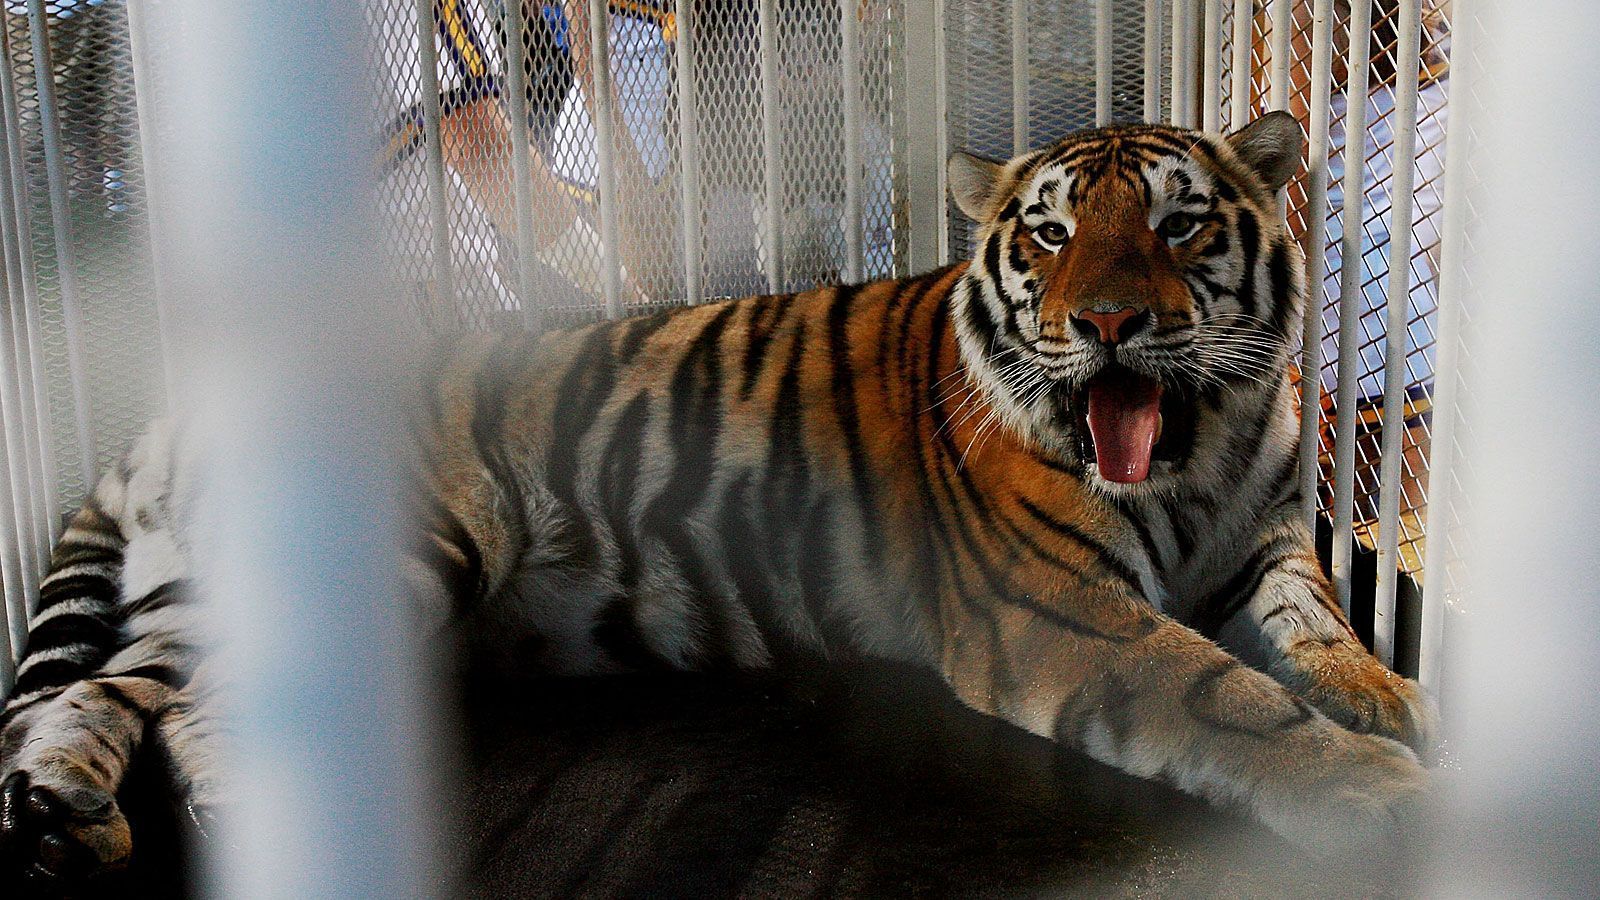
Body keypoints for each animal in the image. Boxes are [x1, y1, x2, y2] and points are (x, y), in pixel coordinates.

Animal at [0, 110, 1433, 883]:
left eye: (1182, 227)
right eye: (1049, 234)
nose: (1109, 324)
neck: (1195, 451)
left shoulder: (1261, 543)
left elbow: (1318, 631)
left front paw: (1398, 700)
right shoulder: (1058, 615)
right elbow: (1226, 697)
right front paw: (1387, 795)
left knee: (108, 691)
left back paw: (79, 815)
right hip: (398, 550)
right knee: (177, 700)